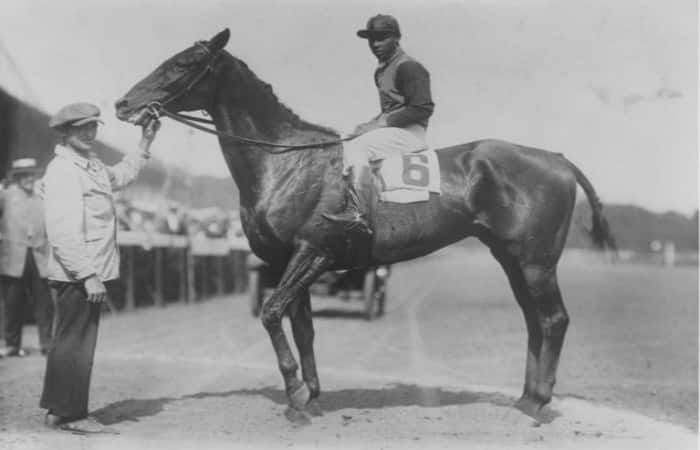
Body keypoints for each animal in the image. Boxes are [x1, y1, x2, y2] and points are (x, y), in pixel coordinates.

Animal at [115, 29, 616, 424]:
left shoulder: (313, 251)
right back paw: (526, 397)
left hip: (536, 262)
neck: (284, 160)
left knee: (554, 319)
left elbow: (272, 313)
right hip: (512, 260)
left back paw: (539, 402)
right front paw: (311, 396)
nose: (124, 103)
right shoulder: (288, 261)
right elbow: (302, 326)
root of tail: (556, 158)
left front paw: (296, 396)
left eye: (184, 63)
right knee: (534, 320)